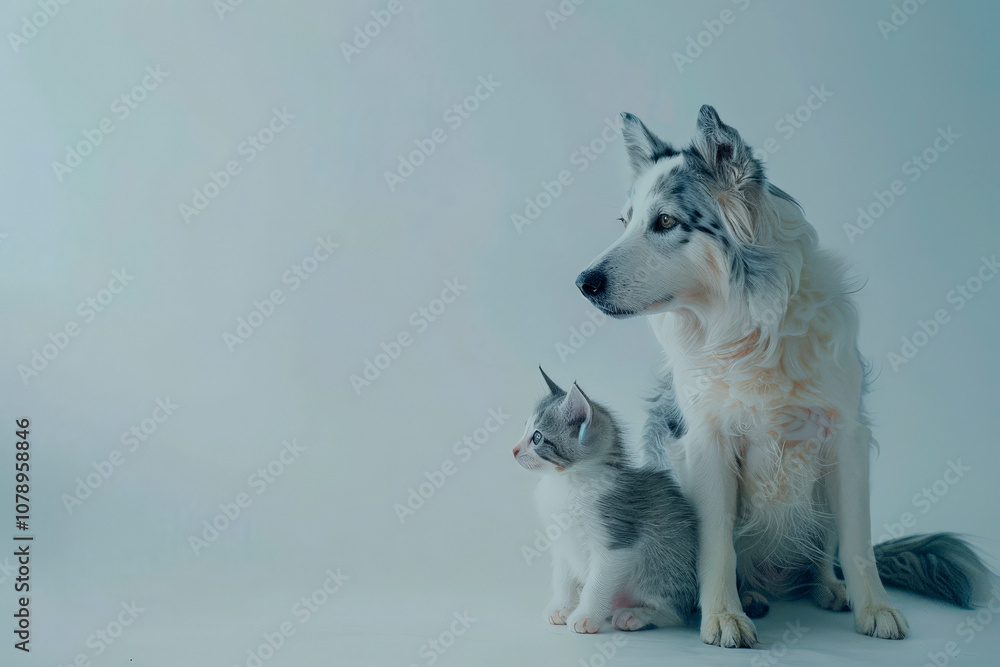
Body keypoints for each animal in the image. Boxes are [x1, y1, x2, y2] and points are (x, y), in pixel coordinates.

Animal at [512, 368, 700, 636]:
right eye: (524, 429)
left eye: (537, 437)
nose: (514, 450)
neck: (566, 483)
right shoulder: (561, 542)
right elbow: (562, 576)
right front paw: (561, 605)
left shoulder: (617, 540)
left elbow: (598, 582)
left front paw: (586, 616)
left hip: (665, 560)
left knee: (675, 612)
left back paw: (636, 615)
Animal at [576, 107, 996, 648]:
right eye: (625, 223)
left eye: (665, 221)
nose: (583, 283)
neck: (750, 328)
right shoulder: (706, 443)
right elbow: (717, 545)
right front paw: (723, 616)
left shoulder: (847, 438)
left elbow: (859, 542)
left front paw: (875, 608)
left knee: (823, 554)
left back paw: (828, 587)